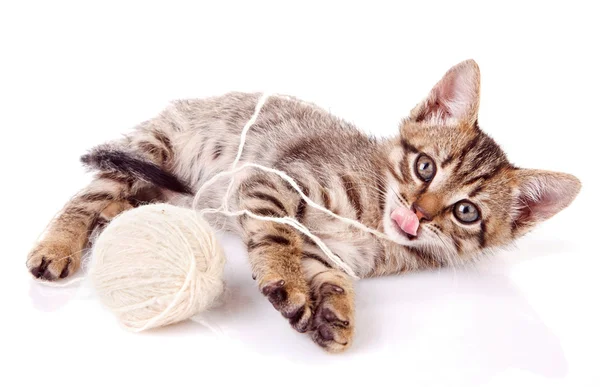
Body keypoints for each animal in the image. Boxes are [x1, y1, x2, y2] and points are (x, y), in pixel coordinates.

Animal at [28, 59, 580, 352]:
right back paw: (57, 246)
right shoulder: (272, 182)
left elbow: (326, 272)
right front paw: (285, 279)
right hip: (151, 150)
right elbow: (277, 235)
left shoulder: (329, 251)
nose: (420, 212)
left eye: (466, 212)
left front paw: (334, 309)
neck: (372, 220)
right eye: (425, 167)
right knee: (88, 197)